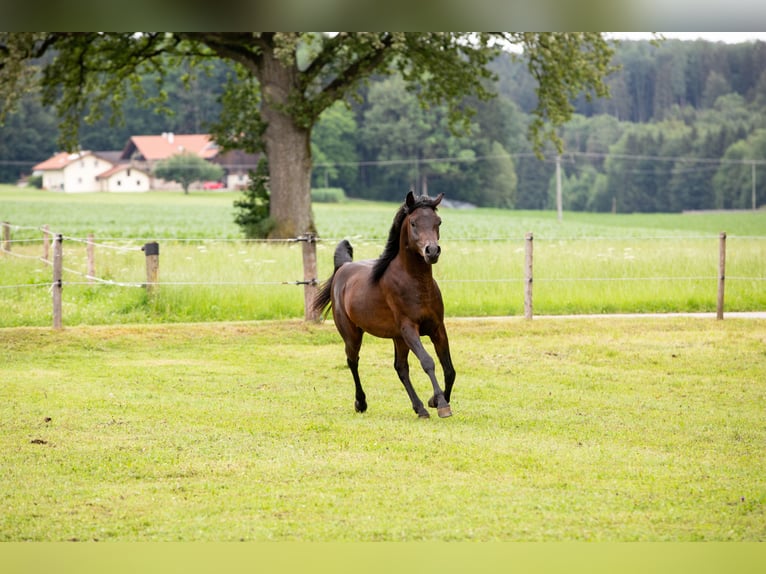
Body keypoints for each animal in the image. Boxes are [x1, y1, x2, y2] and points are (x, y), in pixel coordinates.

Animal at [314, 191, 456, 420]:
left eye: (438, 222)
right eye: (414, 223)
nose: (432, 251)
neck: (416, 283)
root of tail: (343, 267)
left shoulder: (437, 328)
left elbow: (449, 369)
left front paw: (434, 401)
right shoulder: (409, 329)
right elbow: (428, 362)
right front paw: (442, 404)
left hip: (398, 339)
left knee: (401, 368)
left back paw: (420, 408)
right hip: (353, 334)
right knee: (352, 361)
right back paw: (361, 403)